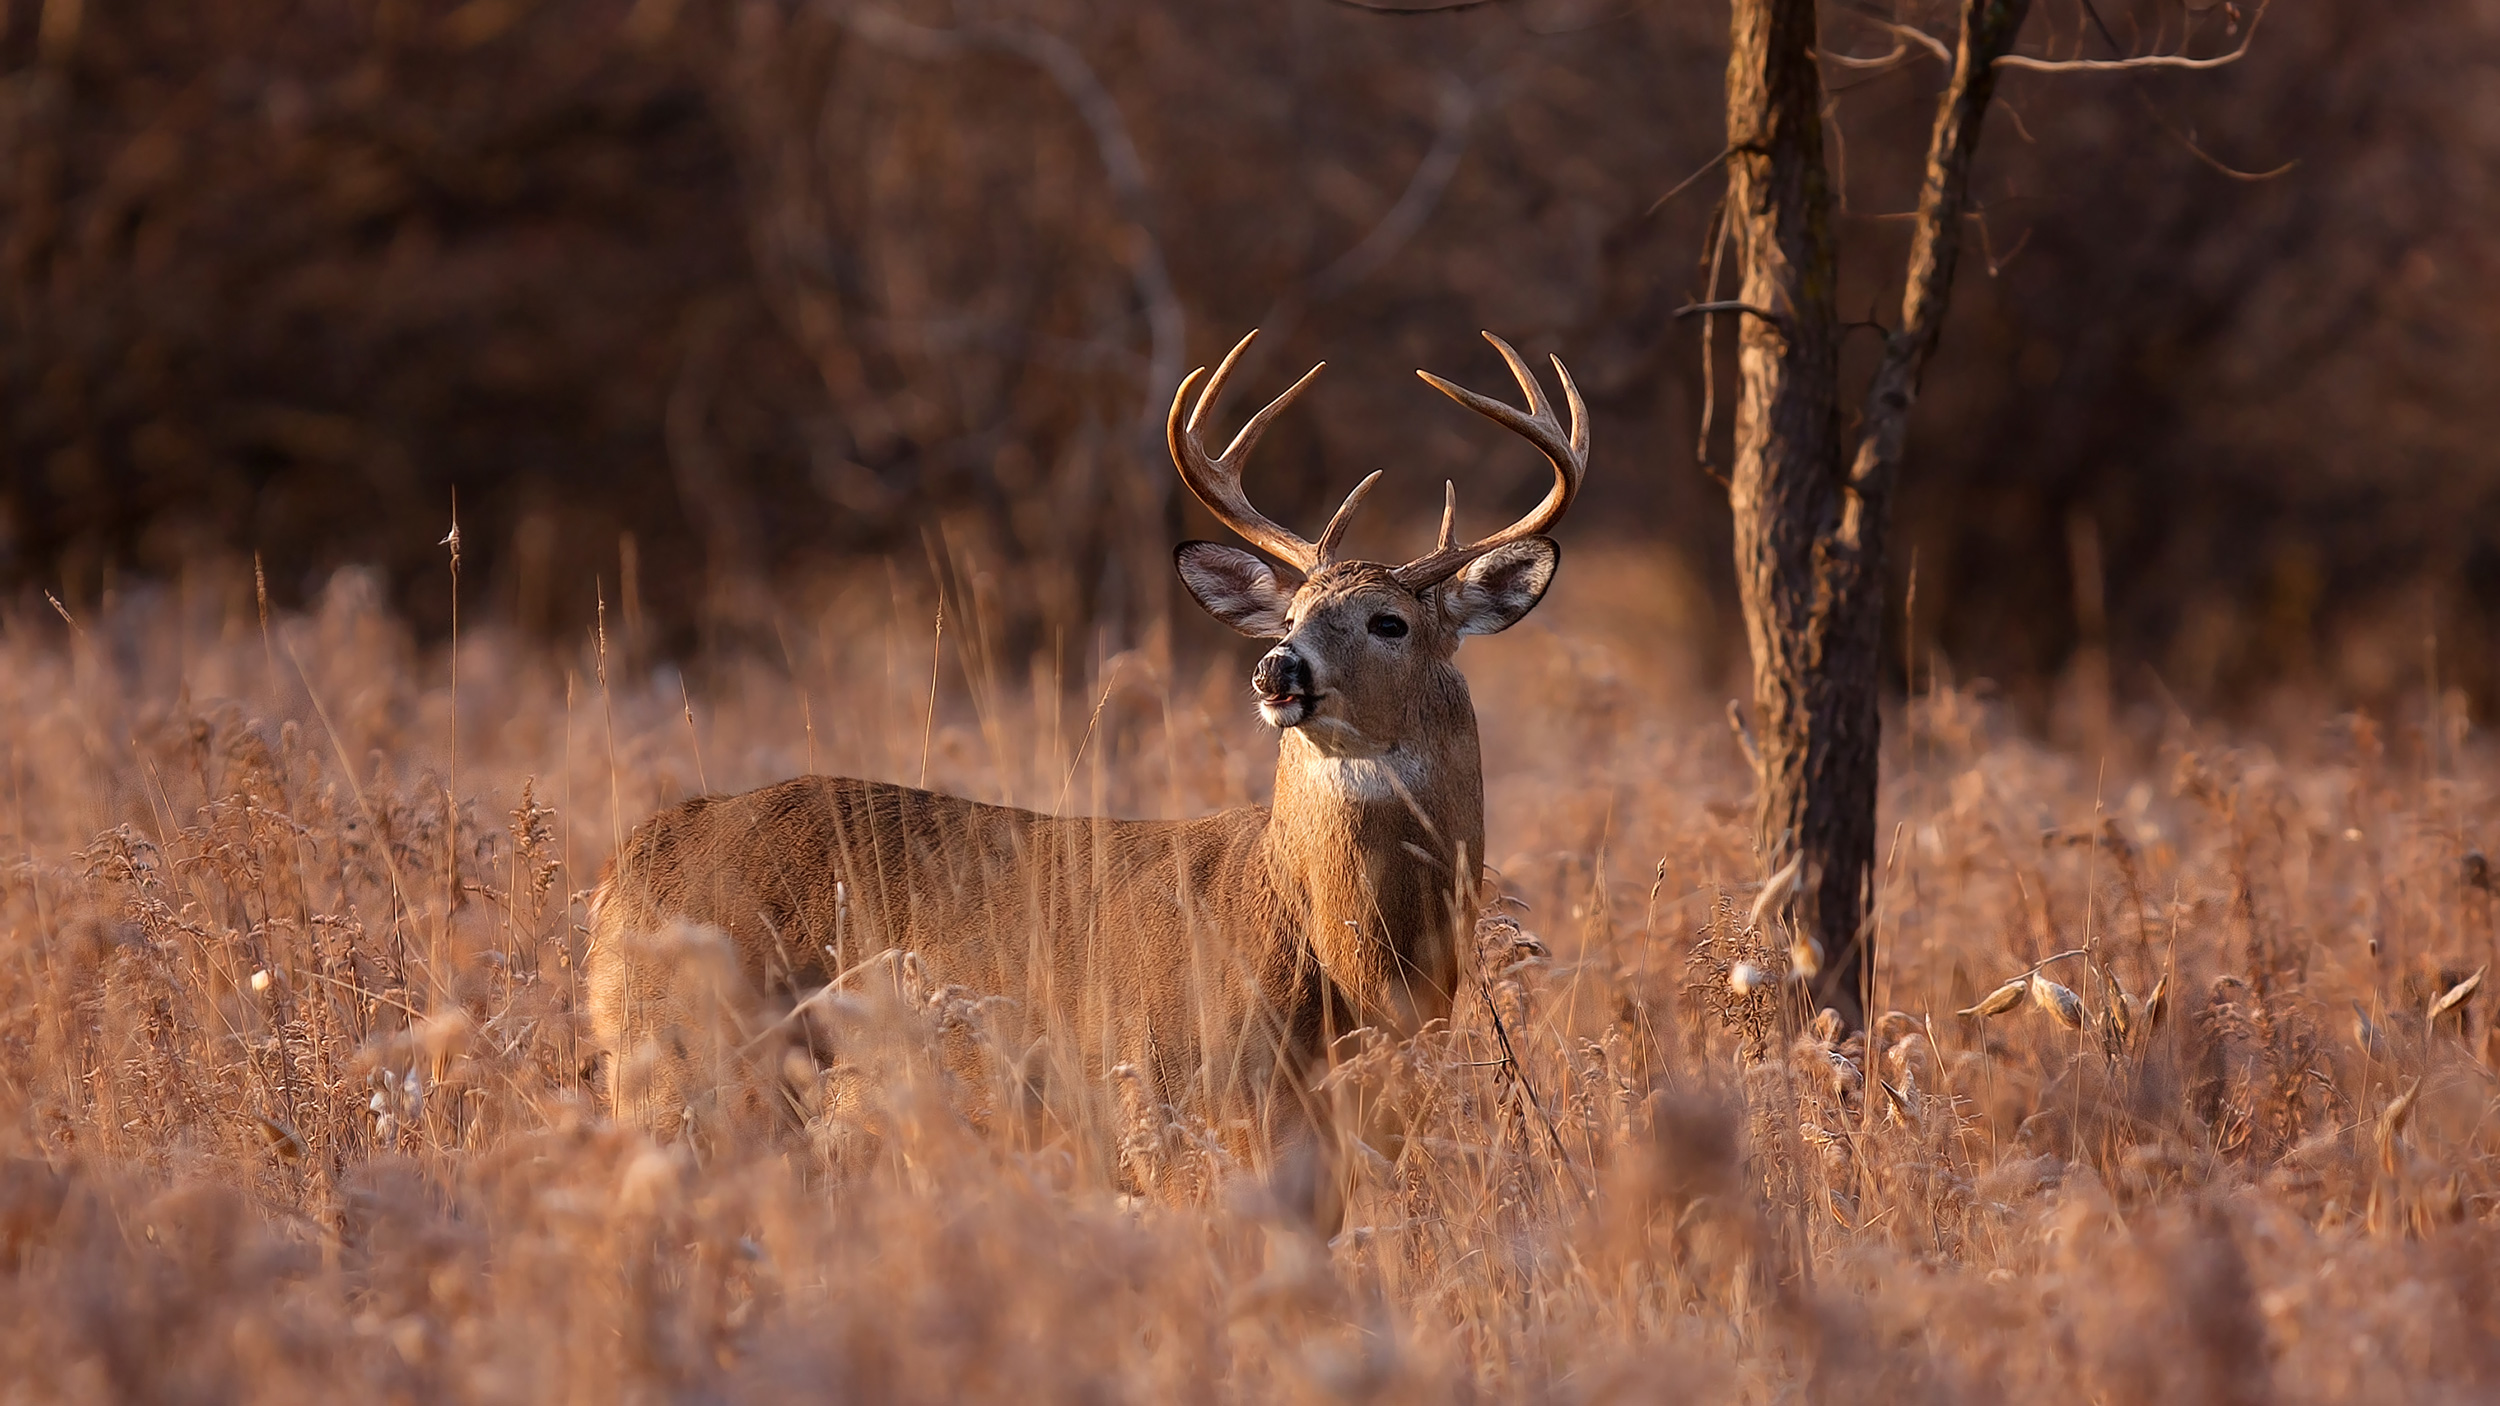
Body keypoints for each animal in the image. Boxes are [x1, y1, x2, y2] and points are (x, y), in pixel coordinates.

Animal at [580, 327, 1580, 1225]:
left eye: (1389, 622)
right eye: (1290, 613)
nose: (1278, 670)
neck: (1339, 967)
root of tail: (629, 863)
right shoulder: (1171, 1113)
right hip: (694, 1065)